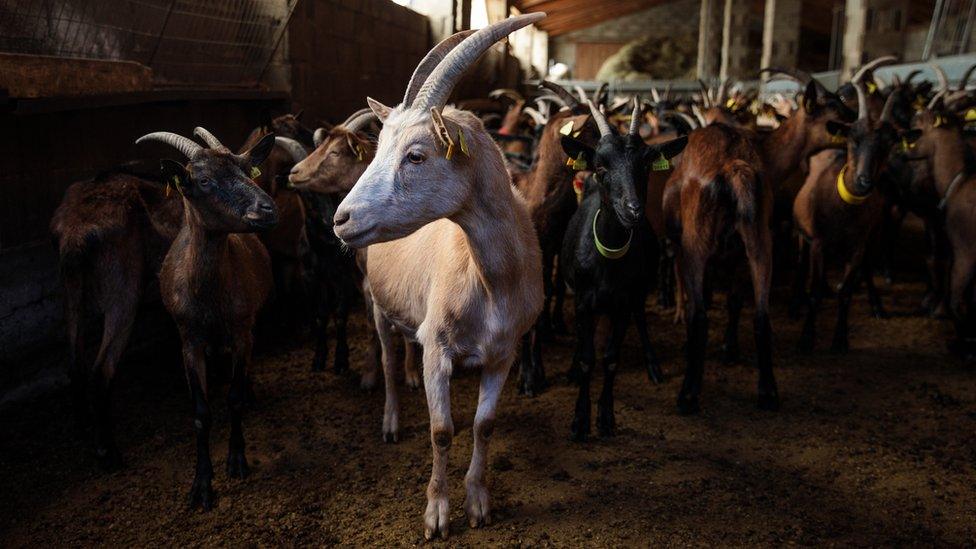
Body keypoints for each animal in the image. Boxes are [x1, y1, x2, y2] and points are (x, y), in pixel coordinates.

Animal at [135, 128, 278, 510]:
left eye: (246, 169)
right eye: (203, 181)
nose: (267, 208)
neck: (209, 298)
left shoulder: (242, 332)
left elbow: (233, 398)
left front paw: (237, 461)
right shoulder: (188, 341)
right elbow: (200, 413)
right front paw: (201, 486)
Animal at [334, 13, 548, 540]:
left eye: (416, 155)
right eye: (378, 148)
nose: (341, 219)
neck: (491, 280)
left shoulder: (504, 352)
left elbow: (483, 426)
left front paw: (479, 503)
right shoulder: (439, 349)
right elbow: (441, 430)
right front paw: (436, 514)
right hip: (377, 303)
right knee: (388, 357)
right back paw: (391, 419)